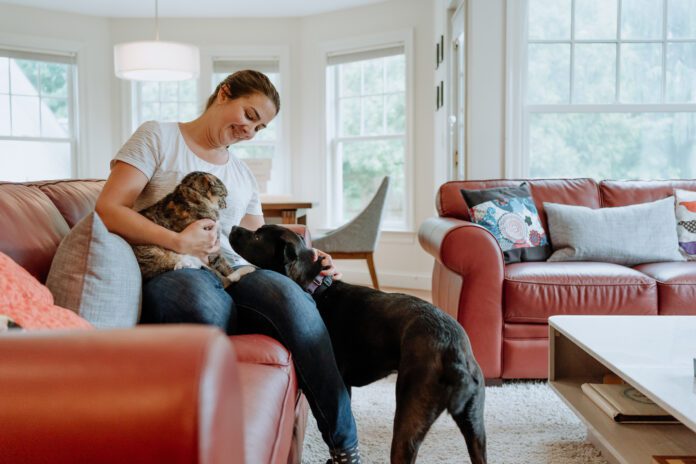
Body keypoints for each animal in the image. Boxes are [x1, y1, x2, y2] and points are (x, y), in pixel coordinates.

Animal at [228, 224, 484, 460]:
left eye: (258, 236)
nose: (232, 227)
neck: (316, 289)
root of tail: (453, 354)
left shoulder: (341, 383)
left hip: (408, 422)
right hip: (475, 429)